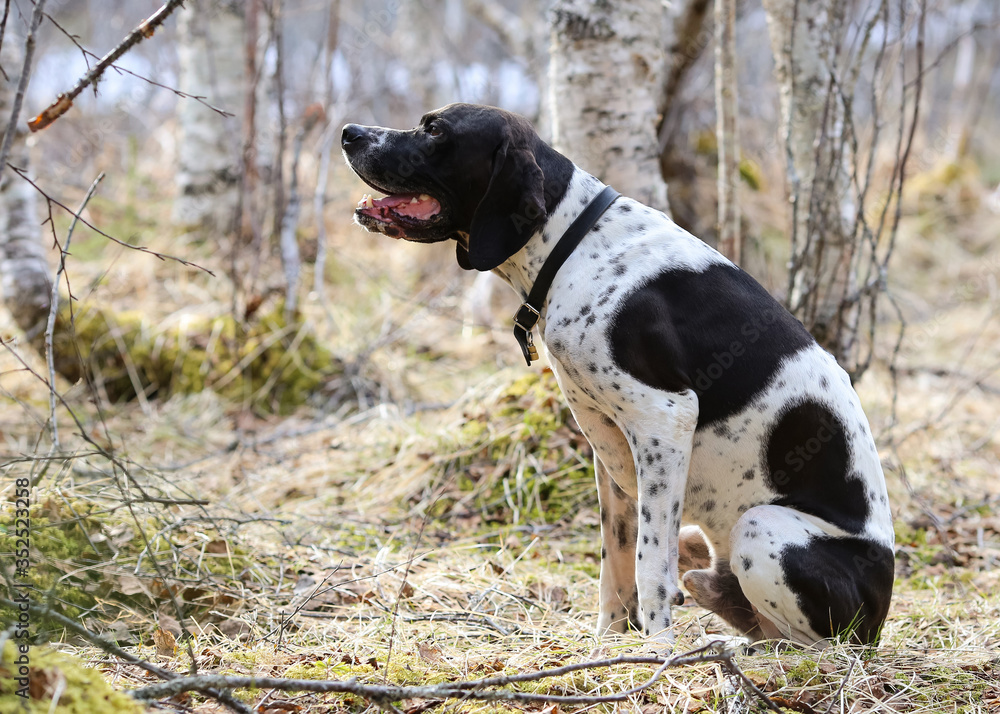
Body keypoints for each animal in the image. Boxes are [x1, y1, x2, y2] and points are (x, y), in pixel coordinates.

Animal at [340, 103, 896, 644]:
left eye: (435, 130)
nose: (349, 132)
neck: (571, 244)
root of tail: (879, 612)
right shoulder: (608, 442)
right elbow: (617, 561)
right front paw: (608, 649)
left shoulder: (664, 421)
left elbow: (649, 567)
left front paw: (656, 656)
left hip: (761, 528)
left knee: (818, 645)